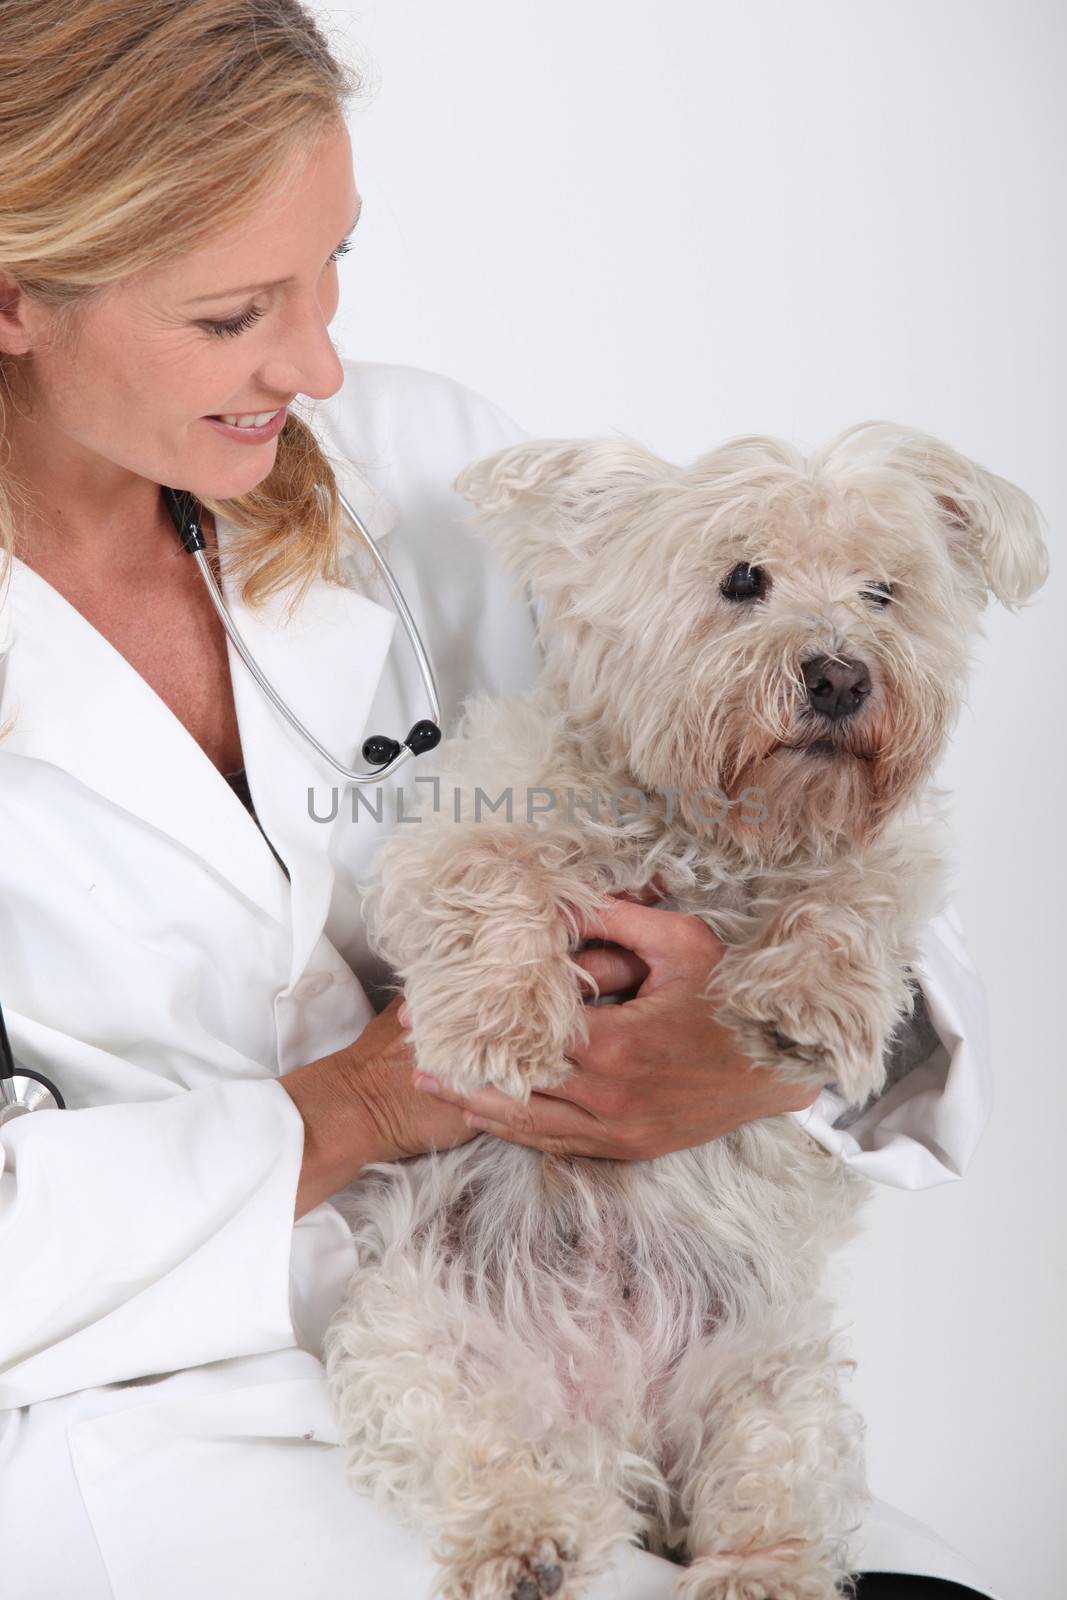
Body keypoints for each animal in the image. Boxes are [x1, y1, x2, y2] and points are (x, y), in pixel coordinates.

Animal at [321, 425, 1049, 1600]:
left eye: (883, 591)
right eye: (741, 579)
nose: (839, 674)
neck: (715, 829)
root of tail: (613, 1428)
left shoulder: (885, 868)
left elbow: (853, 902)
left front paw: (805, 1007)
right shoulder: (469, 826)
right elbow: (492, 880)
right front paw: (496, 1024)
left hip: (777, 1384)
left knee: (768, 1494)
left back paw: (756, 1572)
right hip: (415, 1345)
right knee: (481, 1458)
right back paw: (524, 1541)